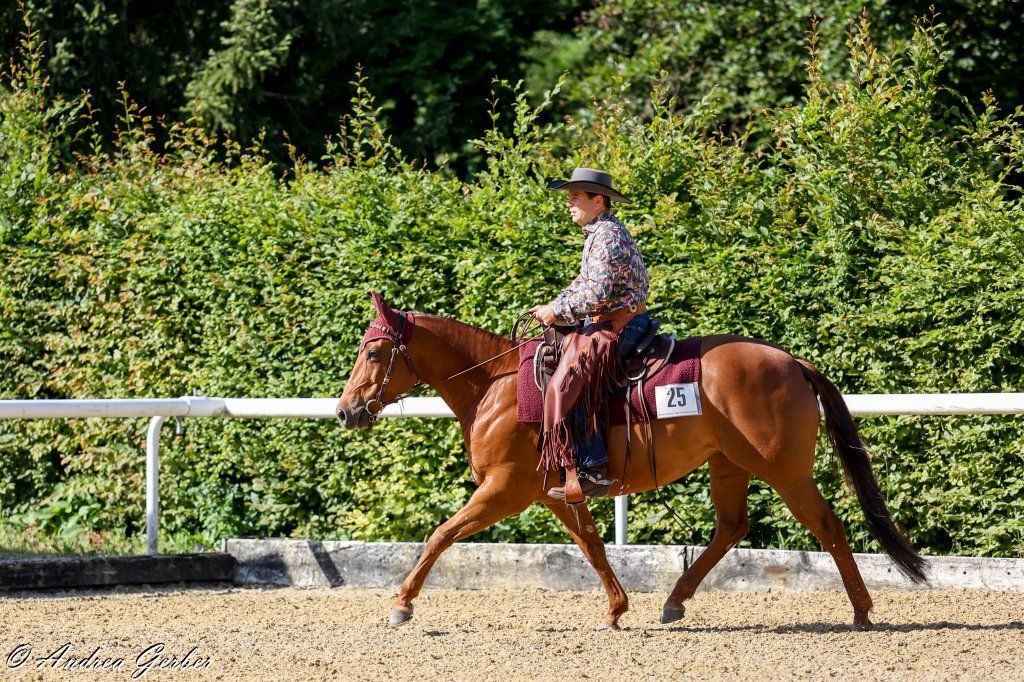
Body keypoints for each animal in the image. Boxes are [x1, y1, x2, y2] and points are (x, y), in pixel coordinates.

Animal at [335, 291, 928, 631]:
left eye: (373, 351)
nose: (345, 411)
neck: (494, 386)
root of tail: (793, 361)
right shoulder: (554, 494)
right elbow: (593, 546)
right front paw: (617, 608)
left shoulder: (504, 490)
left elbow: (440, 535)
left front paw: (402, 604)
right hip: (728, 464)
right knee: (731, 527)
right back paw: (674, 602)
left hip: (784, 470)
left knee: (827, 526)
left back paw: (861, 611)